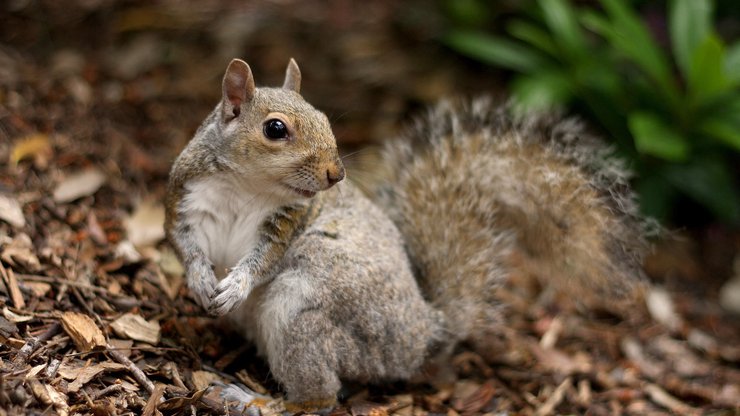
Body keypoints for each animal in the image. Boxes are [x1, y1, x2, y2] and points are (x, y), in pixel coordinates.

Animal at [166, 58, 648, 412]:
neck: (246, 187)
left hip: (303, 314)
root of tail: (424, 334)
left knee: (321, 399)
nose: (337, 174)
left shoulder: (287, 222)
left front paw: (237, 284)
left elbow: (263, 259)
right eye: (275, 129)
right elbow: (184, 244)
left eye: (325, 119)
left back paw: (256, 401)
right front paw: (200, 279)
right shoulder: (186, 199)